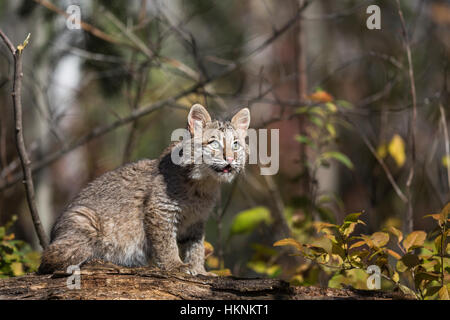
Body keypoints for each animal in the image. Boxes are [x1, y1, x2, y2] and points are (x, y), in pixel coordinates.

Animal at [38, 104, 250, 276]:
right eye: (214, 143)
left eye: (236, 144)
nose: (231, 160)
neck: (204, 183)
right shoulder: (160, 210)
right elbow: (166, 243)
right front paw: (175, 266)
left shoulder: (196, 220)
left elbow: (196, 246)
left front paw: (200, 271)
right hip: (84, 219)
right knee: (48, 261)